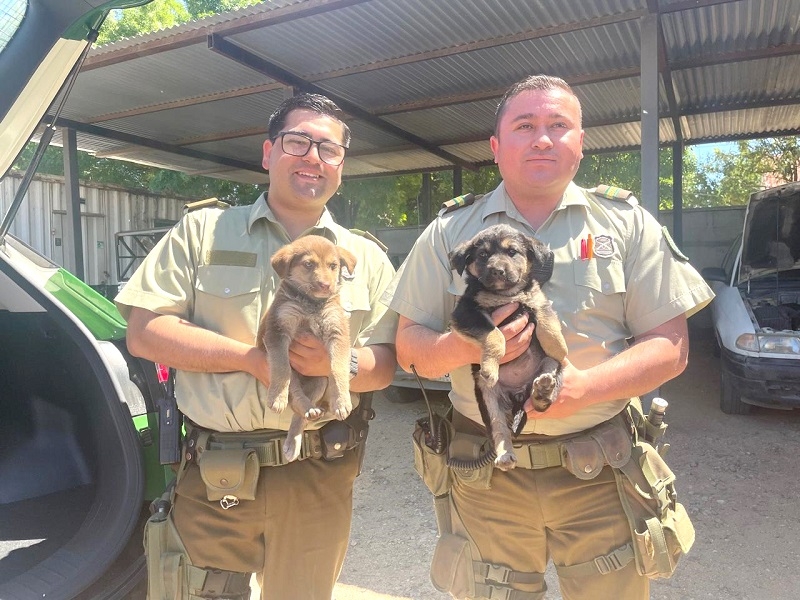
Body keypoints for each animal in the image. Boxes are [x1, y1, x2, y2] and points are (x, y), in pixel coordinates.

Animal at [258, 236, 358, 464]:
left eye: (333, 266)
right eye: (309, 264)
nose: (325, 285)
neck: (310, 304)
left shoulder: (337, 333)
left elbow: (338, 369)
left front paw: (341, 401)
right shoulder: (277, 330)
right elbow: (281, 368)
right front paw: (276, 397)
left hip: (318, 381)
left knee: (298, 411)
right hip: (296, 380)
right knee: (295, 396)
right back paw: (300, 408)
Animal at [450, 224, 568, 468]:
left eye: (512, 252)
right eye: (482, 255)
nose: (497, 271)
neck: (505, 294)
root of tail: (518, 396)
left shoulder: (536, 298)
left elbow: (546, 319)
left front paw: (558, 346)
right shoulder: (466, 312)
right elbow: (495, 334)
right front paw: (489, 366)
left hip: (552, 371)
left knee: (543, 401)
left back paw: (542, 391)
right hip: (488, 398)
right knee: (499, 429)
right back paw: (505, 456)